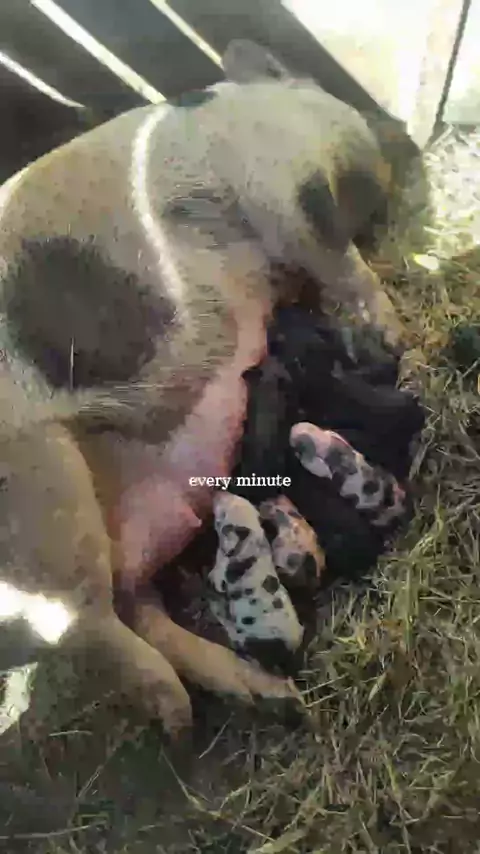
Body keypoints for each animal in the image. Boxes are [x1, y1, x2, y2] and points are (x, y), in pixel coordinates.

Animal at [0, 40, 408, 738]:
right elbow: (338, 258)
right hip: (37, 487)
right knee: (82, 619)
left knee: (131, 603)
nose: (396, 132)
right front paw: (393, 337)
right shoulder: (280, 192)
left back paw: (260, 703)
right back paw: (180, 710)